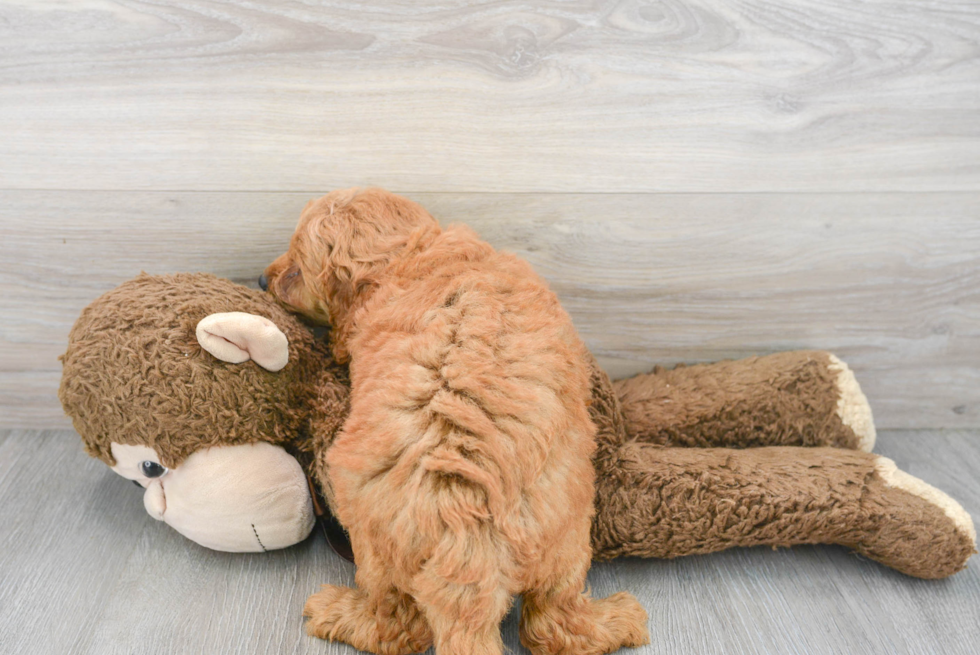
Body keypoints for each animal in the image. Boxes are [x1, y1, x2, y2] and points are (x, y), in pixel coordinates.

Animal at [266, 190, 652, 655]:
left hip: (377, 545)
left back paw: (335, 612)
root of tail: (467, 545)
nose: (262, 278)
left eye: (294, 271)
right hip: (566, 537)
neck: (412, 254)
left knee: (397, 625)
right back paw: (616, 621)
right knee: (552, 621)